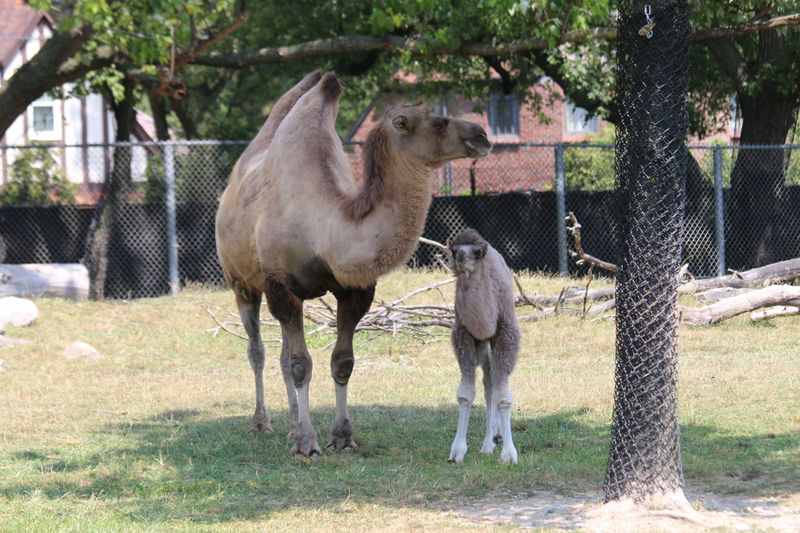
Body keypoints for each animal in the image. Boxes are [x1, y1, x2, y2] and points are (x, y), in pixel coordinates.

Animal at [215, 71, 491, 457]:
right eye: (439, 122)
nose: (481, 134)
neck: (325, 226)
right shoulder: (280, 284)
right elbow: (301, 365)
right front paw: (306, 444)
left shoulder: (354, 289)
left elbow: (341, 362)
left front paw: (342, 437)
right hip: (241, 283)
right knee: (257, 350)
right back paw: (262, 424)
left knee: (282, 354)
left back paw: (290, 425)